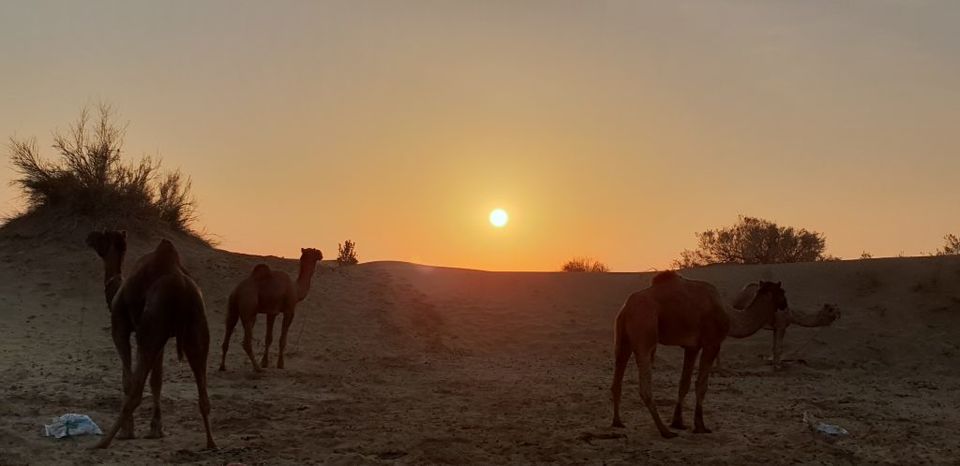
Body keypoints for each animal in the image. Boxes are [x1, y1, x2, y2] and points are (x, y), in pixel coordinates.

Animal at [86, 231, 216, 450]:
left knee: (136, 390)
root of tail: (180, 286)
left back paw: (103, 442)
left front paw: (129, 432)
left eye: (101, 235)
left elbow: (127, 380)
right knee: (203, 391)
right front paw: (156, 429)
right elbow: (157, 380)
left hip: (151, 327)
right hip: (196, 325)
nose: (88, 237)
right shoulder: (159, 339)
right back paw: (211, 443)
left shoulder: (121, 329)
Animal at [608, 272, 788, 438]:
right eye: (782, 292)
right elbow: (701, 385)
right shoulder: (712, 343)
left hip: (622, 338)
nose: (785, 305)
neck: (731, 317)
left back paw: (618, 422)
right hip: (645, 331)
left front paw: (678, 422)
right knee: (645, 386)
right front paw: (700, 426)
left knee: (617, 377)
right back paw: (665, 431)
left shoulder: (692, 347)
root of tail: (627, 307)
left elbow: (684, 383)